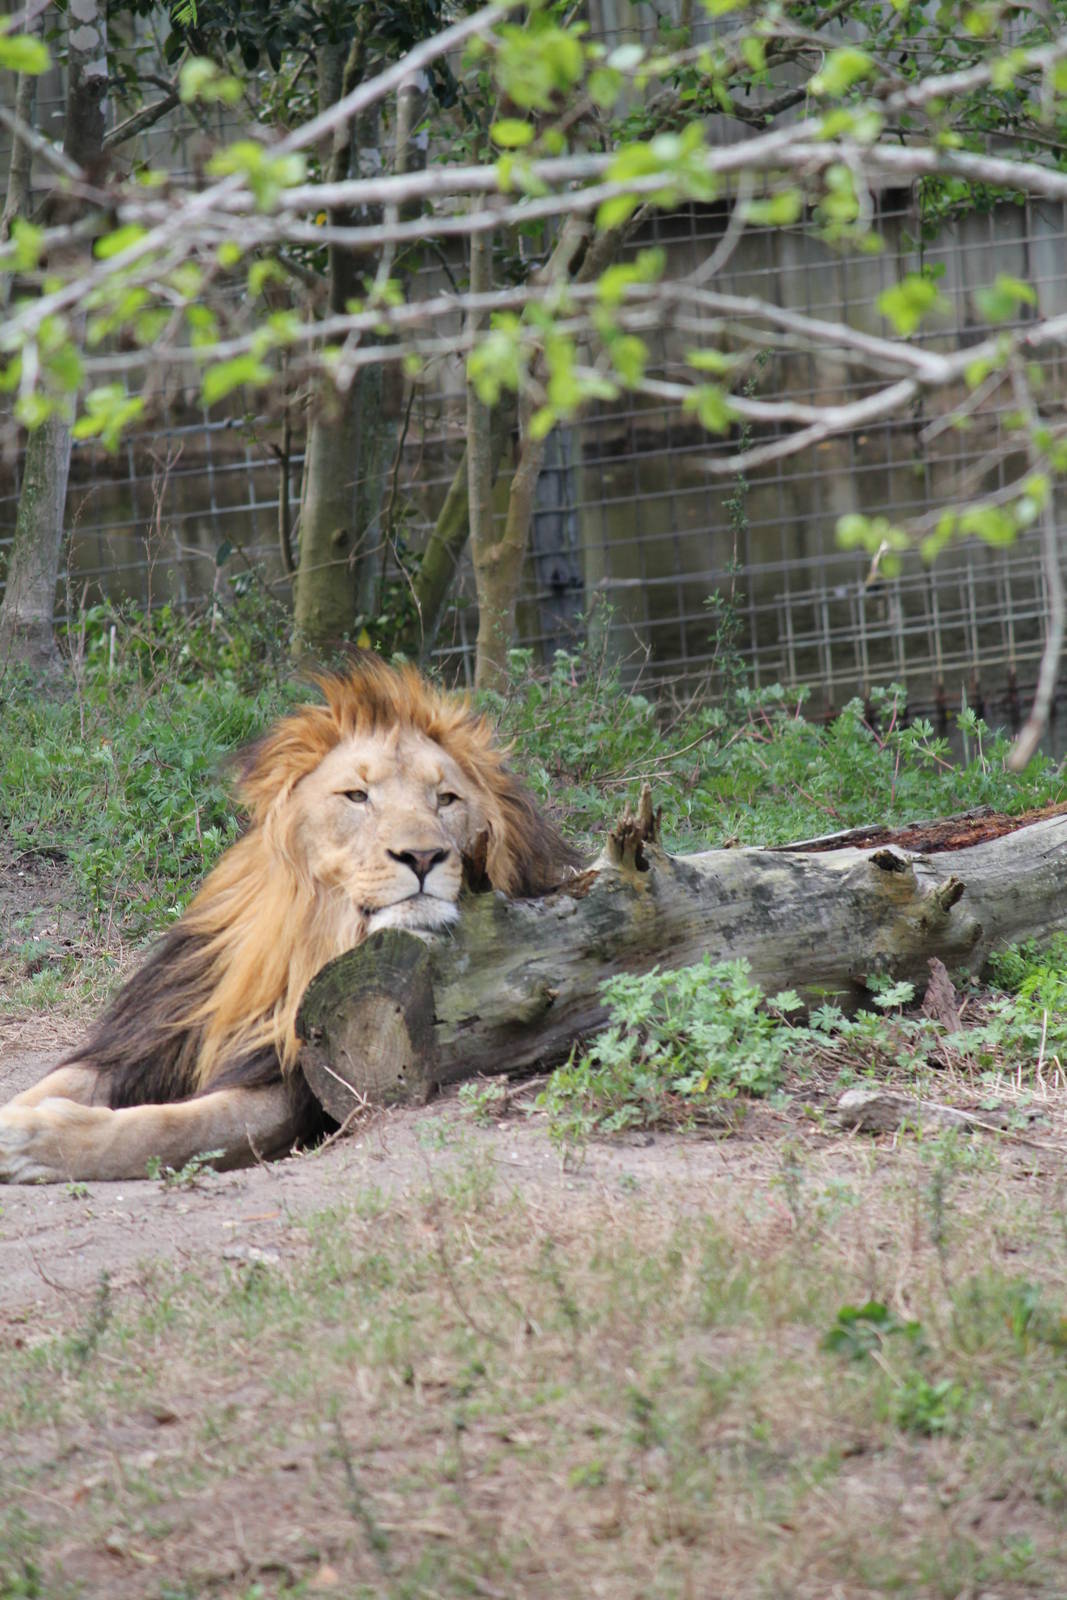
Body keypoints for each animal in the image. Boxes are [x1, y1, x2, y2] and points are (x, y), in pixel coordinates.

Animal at [0, 656, 579, 1183]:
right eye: (357, 796)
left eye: (446, 799)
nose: (421, 857)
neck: (317, 937)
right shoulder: (152, 1037)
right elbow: (61, 1082)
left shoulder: (296, 1083)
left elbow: (170, 1128)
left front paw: (31, 1138)